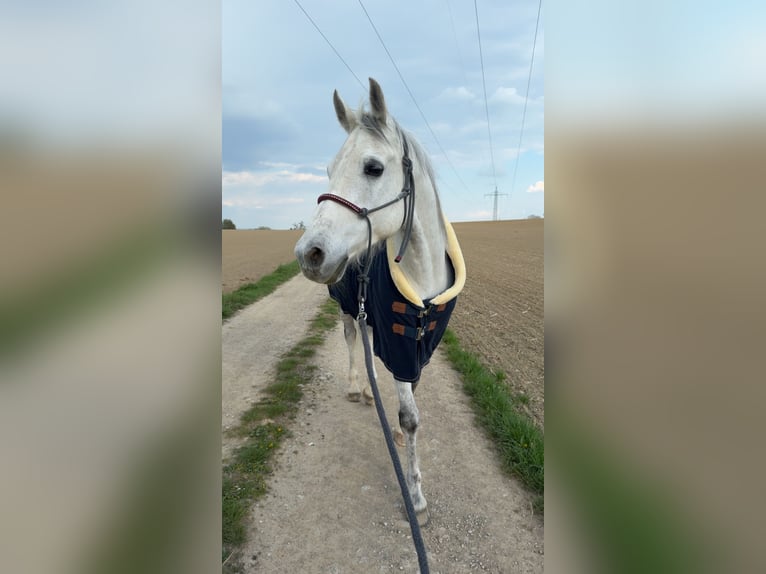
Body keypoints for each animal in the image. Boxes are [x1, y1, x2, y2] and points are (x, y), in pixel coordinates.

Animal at [294, 78, 466, 515]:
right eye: (328, 170)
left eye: (373, 167)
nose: (309, 254)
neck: (423, 284)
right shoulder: (400, 343)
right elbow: (409, 414)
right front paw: (415, 495)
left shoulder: (419, 346)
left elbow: (412, 403)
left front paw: (403, 444)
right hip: (346, 310)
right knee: (353, 343)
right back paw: (358, 388)